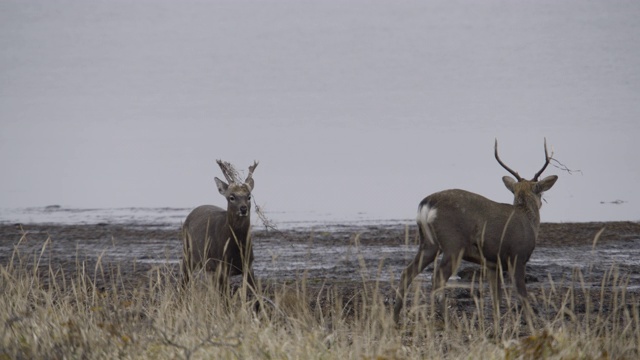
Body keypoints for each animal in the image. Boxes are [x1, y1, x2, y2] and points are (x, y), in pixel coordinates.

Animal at [181, 159, 258, 294]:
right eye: (231, 197)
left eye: (249, 196)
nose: (243, 208)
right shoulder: (222, 264)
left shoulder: (249, 265)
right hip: (188, 253)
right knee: (184, 281)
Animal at [392, 140, 556, 324]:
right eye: (541, 193)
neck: (528, 221)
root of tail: (427, 204)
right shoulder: (517, 256)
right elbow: (523, 296)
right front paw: (532, 323)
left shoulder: (493, 264)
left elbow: (496, 298)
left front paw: (497, 325)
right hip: (453, 244)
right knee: (437, 280)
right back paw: (447, 321)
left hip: (428, 243)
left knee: (407, 272)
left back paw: (395, 318)